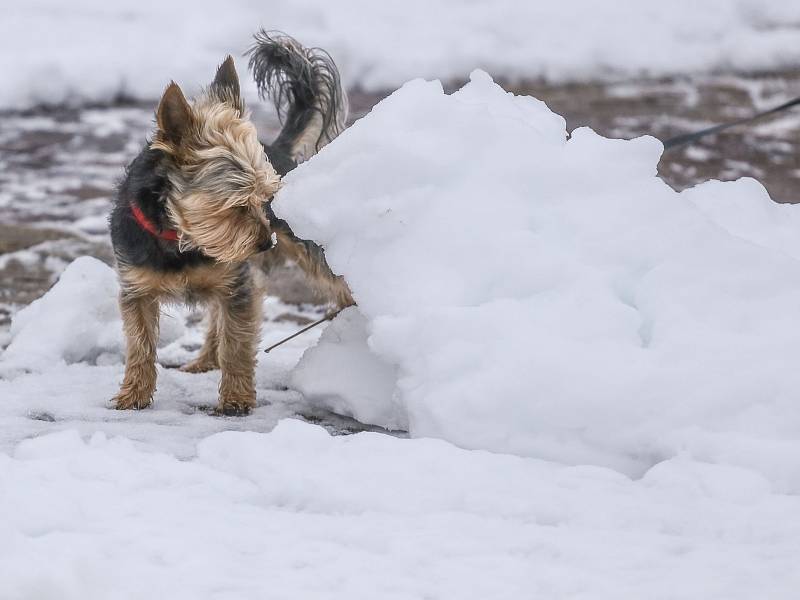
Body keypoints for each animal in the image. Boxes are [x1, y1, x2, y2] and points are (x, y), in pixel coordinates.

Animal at [109, 31, 354, 412]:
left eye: (266, 200)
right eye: (236, 206)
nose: (266, 243)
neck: (181, 236)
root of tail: (276, 149)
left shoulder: (239, 283)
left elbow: (237, 343)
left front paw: (236, 398)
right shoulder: (137, 289)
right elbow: (140, 344)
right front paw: (134, 393)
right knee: (215, 321)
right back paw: (204, 360)